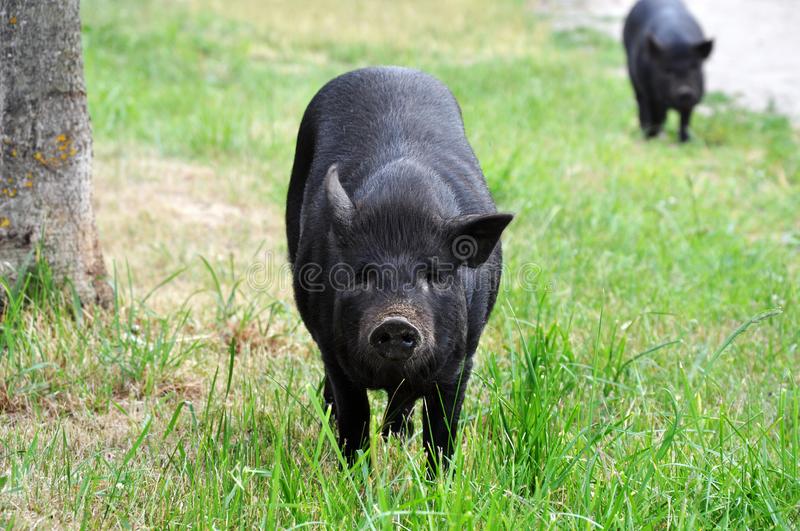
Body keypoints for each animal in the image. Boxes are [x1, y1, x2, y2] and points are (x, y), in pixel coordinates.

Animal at [285, 66, 513, 470]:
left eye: (435, 274)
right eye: (361, 273)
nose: (395, 321)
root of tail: (388, 69)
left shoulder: (461, 360)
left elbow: (441, 430)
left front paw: (439, 481)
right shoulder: (335, 354)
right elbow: (354, 418)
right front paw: (352, 475)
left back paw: (397, 435)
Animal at [623, 0, 714, 142]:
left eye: (694, 67)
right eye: (667, 70)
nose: (685, 91)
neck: (677, 42)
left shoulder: (693, 98)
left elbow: (685, 121)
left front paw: (685, 141)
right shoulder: (648, 92)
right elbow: (649, 112)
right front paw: (649, 136)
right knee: (641, 102)